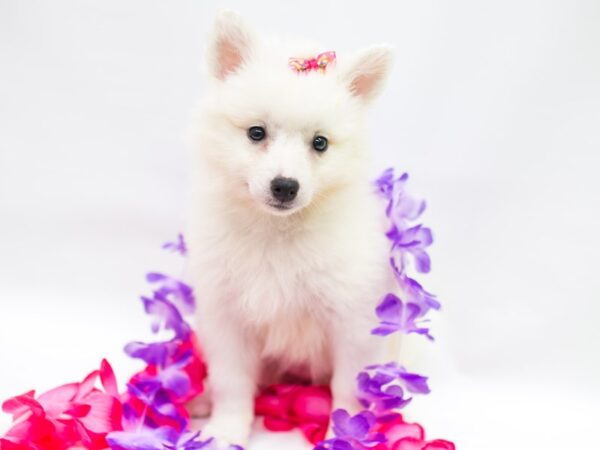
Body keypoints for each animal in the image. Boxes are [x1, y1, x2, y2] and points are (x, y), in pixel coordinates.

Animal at [188, 10, 394, 446]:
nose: (285, 186)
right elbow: (232, 383)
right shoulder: (226, 317)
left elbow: (348, 389)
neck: (277, 231)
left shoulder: (353, 323)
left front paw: (345, 432)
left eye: (320, 143)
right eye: (256, 133)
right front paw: (225, 431)